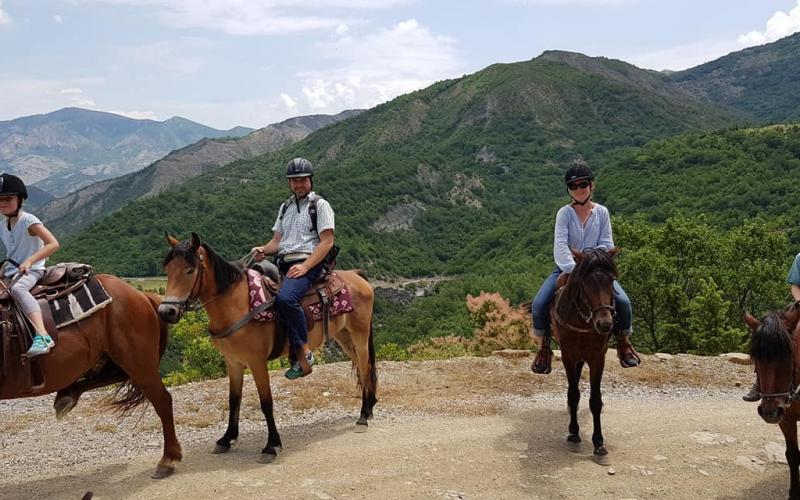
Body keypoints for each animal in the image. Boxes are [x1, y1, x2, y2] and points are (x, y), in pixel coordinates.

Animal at [0, 276, 181, 478]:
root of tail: (141, 295)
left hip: (139, 364)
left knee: (162, 401)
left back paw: (168, 459)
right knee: (114, 376)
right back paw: (66, 397)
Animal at [159, 232, 378, 462]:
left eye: (190, 270)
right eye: (168, 270)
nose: (166, 312)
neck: (237, 305)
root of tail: (356, 275)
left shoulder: (257, 362)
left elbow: (266, 403)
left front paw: (271, 445)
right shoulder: (233, 362)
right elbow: (233, 400)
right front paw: (227, 439)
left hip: (359, 335)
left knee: (365, 368)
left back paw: (363, 417)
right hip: (344, 337)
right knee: (363, 368)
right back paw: (369, 407)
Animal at [552, 246, 620, 464]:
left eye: (611, 280)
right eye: (585, 282)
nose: (604, 323)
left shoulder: (598, 358)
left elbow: (595, 400)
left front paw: (599, 443)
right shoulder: (568, 355)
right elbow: (574, 394)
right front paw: (574, 434)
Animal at [748, 302, 800, 498]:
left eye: (790, 354)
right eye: (755, 357)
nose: (770, 412)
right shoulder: (786, 419)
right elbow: (792, 455)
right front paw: (794, 493)